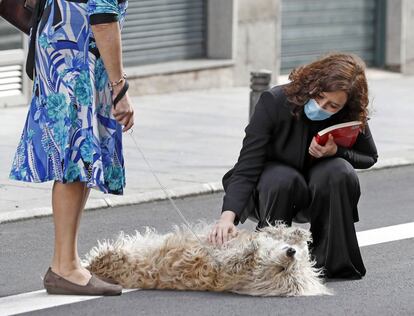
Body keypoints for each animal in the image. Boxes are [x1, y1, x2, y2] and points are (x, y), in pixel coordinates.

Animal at [82, 222, 332, 296]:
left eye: (284, 270)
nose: (291, 253)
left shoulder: (228, 270)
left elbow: (237, 260)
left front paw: (249, 251)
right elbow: (272, 233)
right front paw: (297, 233)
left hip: (124, 262)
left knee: (106, 257)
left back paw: (101, 254)